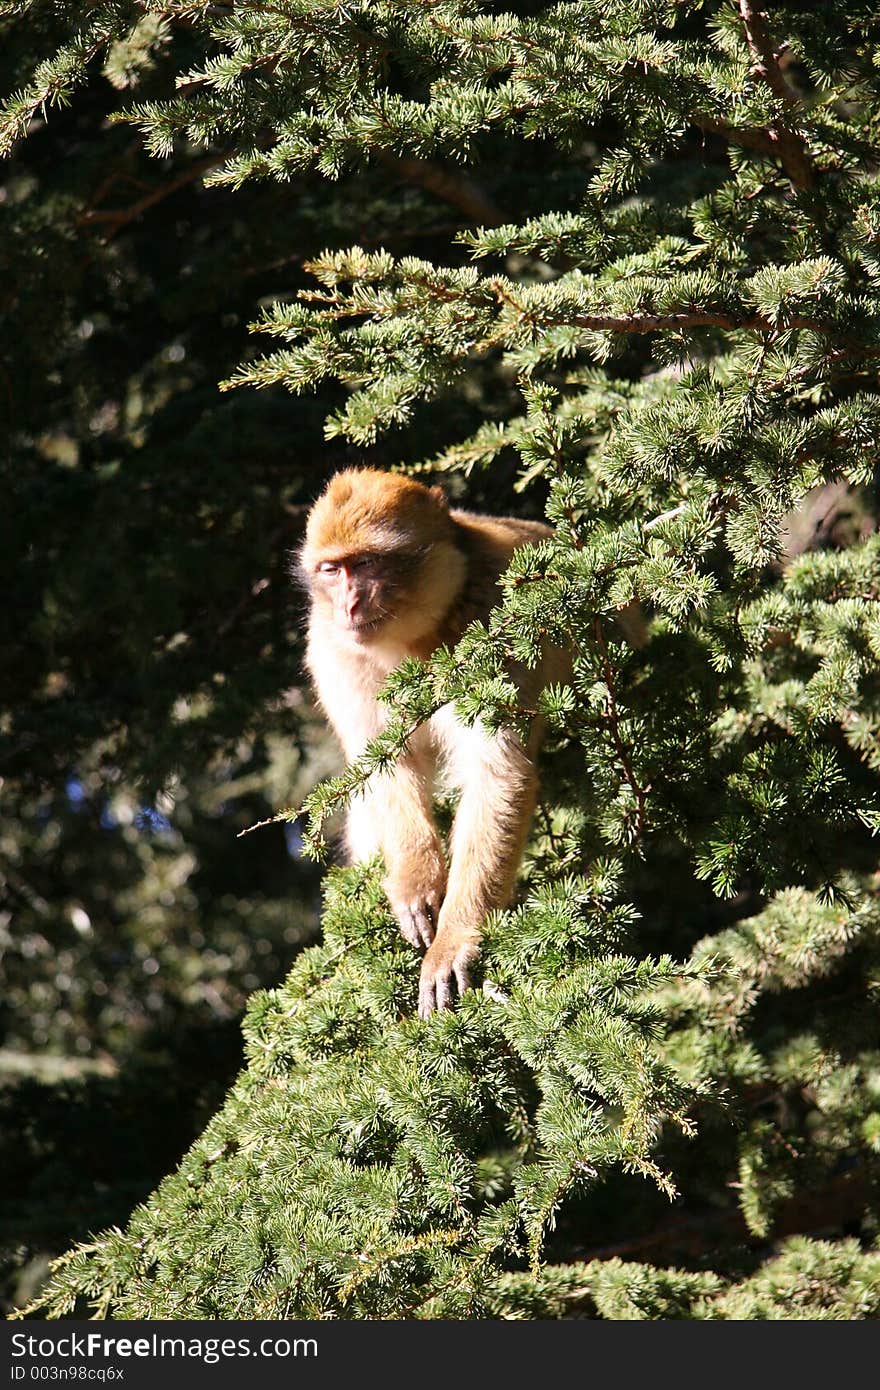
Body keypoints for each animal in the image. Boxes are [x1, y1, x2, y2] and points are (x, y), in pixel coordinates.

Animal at [298, 472, 567, 1017]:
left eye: (366, 564)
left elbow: (497, 771)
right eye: (333, 570)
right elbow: (384, 765)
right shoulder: (333, 649)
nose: (349, 605)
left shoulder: (497, 622)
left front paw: (454, 940)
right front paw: (415, 883)